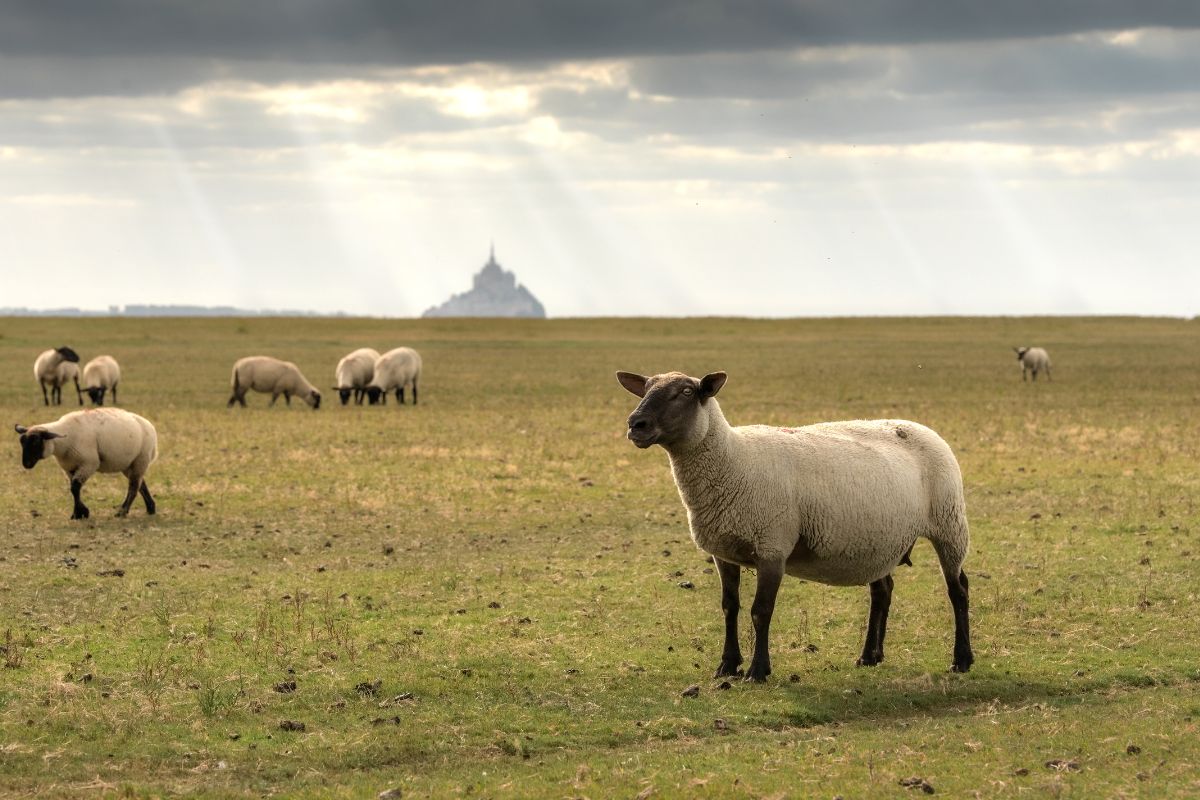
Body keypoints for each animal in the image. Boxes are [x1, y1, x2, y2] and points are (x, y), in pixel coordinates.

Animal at [14, 410, 158, 522]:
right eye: (21, 442)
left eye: (35, 442)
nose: (26, 464)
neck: (64, 442)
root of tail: (149, 425)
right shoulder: (70, 468)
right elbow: (73, 488)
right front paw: (80, 512)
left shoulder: (89, 464)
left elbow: (75, 487)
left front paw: (80, 513)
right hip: (129, 464)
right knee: (141, 484)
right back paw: (150, 508)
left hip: (141, 459)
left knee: (134, 486)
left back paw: (122, 512)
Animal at [619, 371, 974, 686]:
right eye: (645, 389)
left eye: (686, 392)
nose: (636, 425)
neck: (733, 460)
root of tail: (921, 427)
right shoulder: (724, 552)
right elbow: (729, 608)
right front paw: (727, 666)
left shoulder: (772, 547)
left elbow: (760, 611)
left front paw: (757, 671)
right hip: (878, 538)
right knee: (882, 590)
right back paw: (869, 656)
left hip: (949, 523)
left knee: (958, 589)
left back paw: (962, 660)